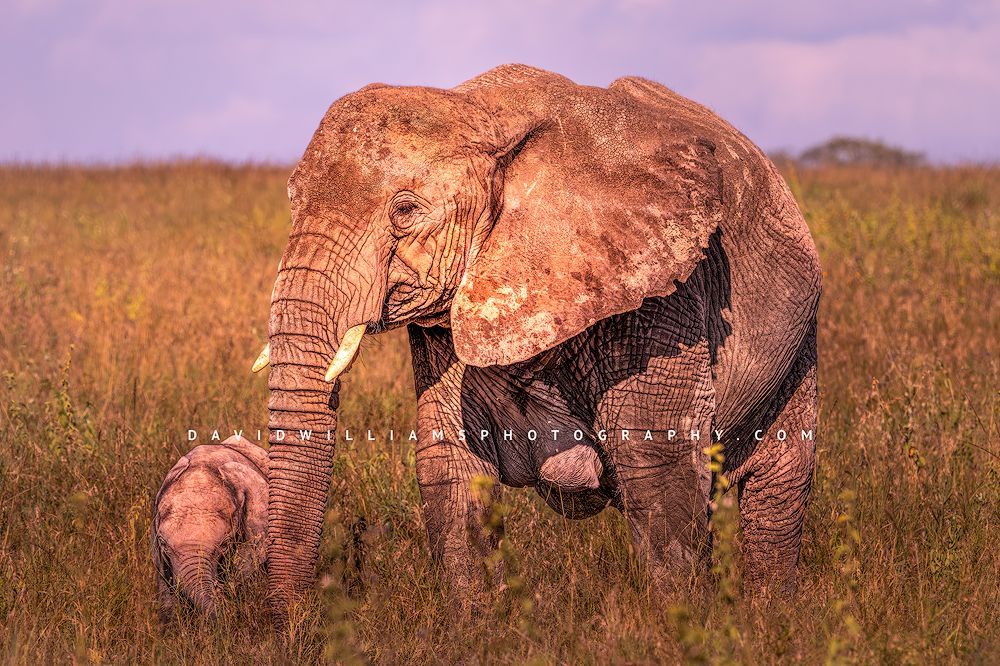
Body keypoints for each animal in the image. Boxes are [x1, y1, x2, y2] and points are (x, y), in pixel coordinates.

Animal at [251, 64, 821, 616]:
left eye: (405, 211)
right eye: (292, 201)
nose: (300, 622)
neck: (482, 113)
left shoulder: (660, 288)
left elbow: (658, 465)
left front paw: (682, 628)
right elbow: (452, 467)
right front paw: (479, 630)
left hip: (799, 339)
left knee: (778, 489)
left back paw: (770, 620)